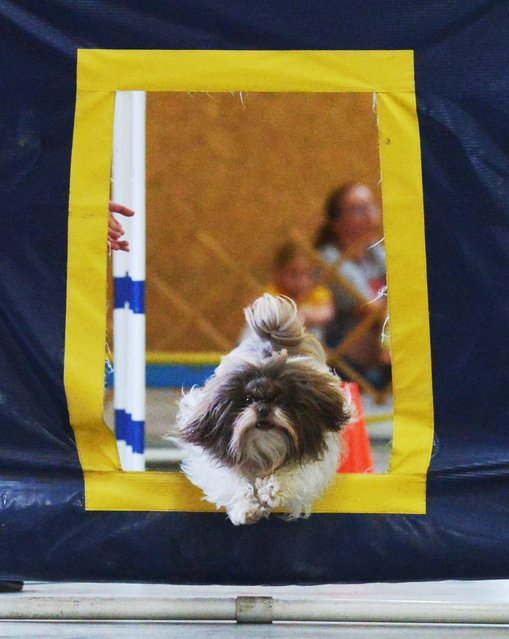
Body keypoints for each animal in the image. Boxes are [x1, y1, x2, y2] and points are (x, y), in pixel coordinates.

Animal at [173, 296, 348, 524]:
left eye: (280, 400)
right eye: (248, 399)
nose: (263, 408)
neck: (264, 450)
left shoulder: (311, 464)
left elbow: (293, 476)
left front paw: (271, 492)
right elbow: (232, 482)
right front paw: (246, 508)